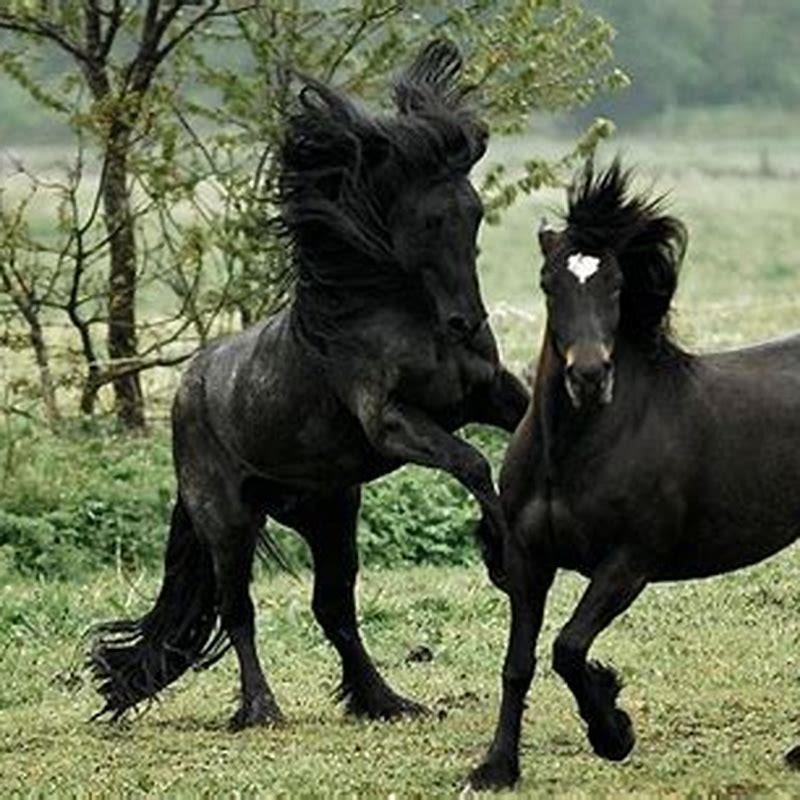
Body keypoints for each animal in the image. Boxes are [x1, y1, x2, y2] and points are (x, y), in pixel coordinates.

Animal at [89, 40, 528, 731]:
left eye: (475, 214)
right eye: (430, 221)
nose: (466, 321)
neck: (395, 310)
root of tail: (187, 394)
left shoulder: (487, 397)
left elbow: (526, 419)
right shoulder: (391, 421)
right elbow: (473, 463)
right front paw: (501, 556)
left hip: (329, 512)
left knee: (335, 609)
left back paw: (386, 700)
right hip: (229, 522)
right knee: (239, 611)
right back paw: (261, 708)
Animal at [468, 159, 800, 790]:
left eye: (617, 286)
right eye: (549, 284)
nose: (589, 375)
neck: (573, 453)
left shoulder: (629, 563)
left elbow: (569, 647)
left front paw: (613, 731)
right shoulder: (527, 560)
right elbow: (518, 663)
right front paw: (496, 767)